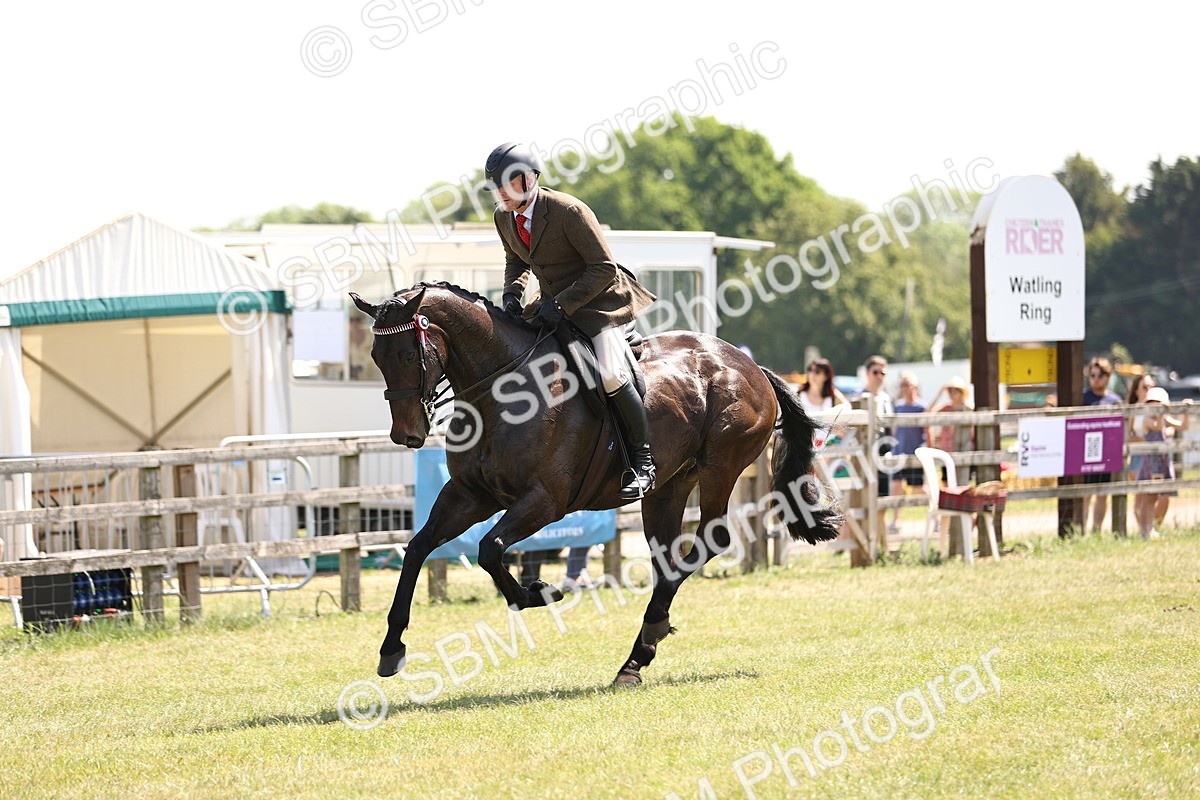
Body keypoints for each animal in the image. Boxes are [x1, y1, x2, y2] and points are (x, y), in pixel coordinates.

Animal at [351, 281, 842, 687]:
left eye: (408, 355)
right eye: (376, 358)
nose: (407, 436)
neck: (501, 392)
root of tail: (749, 364)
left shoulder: (544, 501)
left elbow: (490, 549)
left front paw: (540, 592)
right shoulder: (470, 495)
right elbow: (418, 548)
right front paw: (391, 648)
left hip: (720, 467)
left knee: (710, 540)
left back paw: (644, 641)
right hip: (667, 488)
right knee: (667, 559)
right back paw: (642, 649)